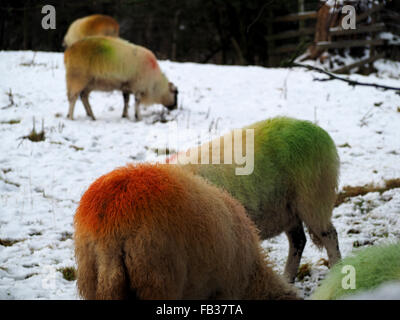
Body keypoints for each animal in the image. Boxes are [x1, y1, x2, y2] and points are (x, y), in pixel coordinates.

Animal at [170, 116, 342, 282]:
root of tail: (318, 131)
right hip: (287, 210)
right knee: (298, 240)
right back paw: (287, 278)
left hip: (313, 199)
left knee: (329, 235)